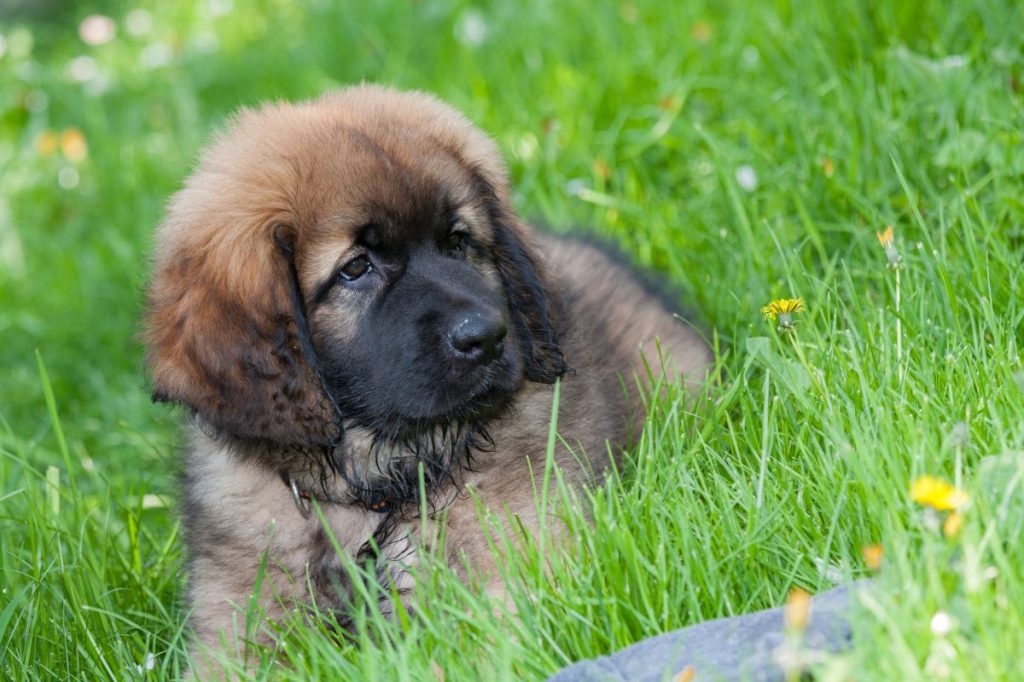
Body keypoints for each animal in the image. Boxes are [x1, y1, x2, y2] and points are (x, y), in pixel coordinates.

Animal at [144, 83, 716, 667]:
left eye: (458, 241)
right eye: (355, 268)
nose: (486, 336)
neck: (378, 485)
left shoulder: (516, 567)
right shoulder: (237, 626)